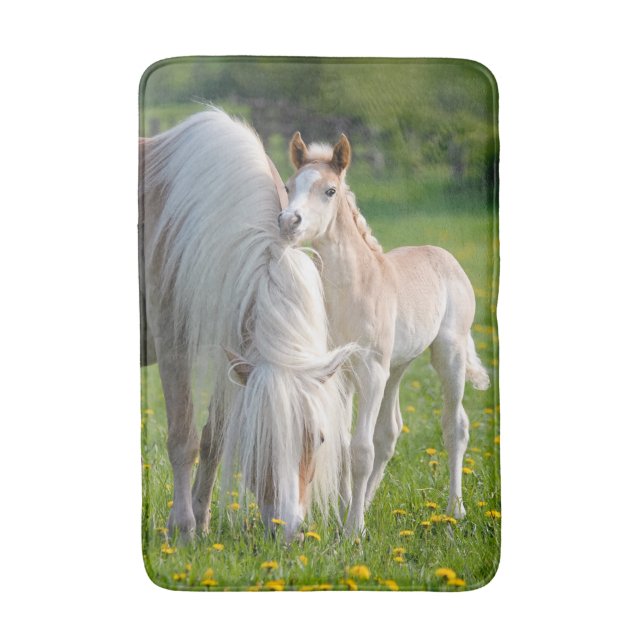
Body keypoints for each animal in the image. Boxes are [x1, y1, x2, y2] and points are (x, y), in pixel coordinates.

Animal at [139, 109, 355, 542]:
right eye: (258, 440)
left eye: (320, 437)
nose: (289, 532)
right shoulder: (174, 344)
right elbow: (184, 438)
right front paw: (183, 528)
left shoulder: (234, 349)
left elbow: (214, 439)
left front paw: (201, 521)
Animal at [278, 132, 491, 536]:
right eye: (288, 186)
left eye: (329, 190)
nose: (288, 222)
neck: (353, 289)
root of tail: (443, 255)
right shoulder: (341, 373)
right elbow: (346, 444)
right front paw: (346, 513)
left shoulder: (371, 369)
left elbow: (361, 448)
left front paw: (352, 532)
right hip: (396, 367)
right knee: (390, 432)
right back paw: (367, 503)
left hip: (447, 354)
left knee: (455, 426)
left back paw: (455, 510)